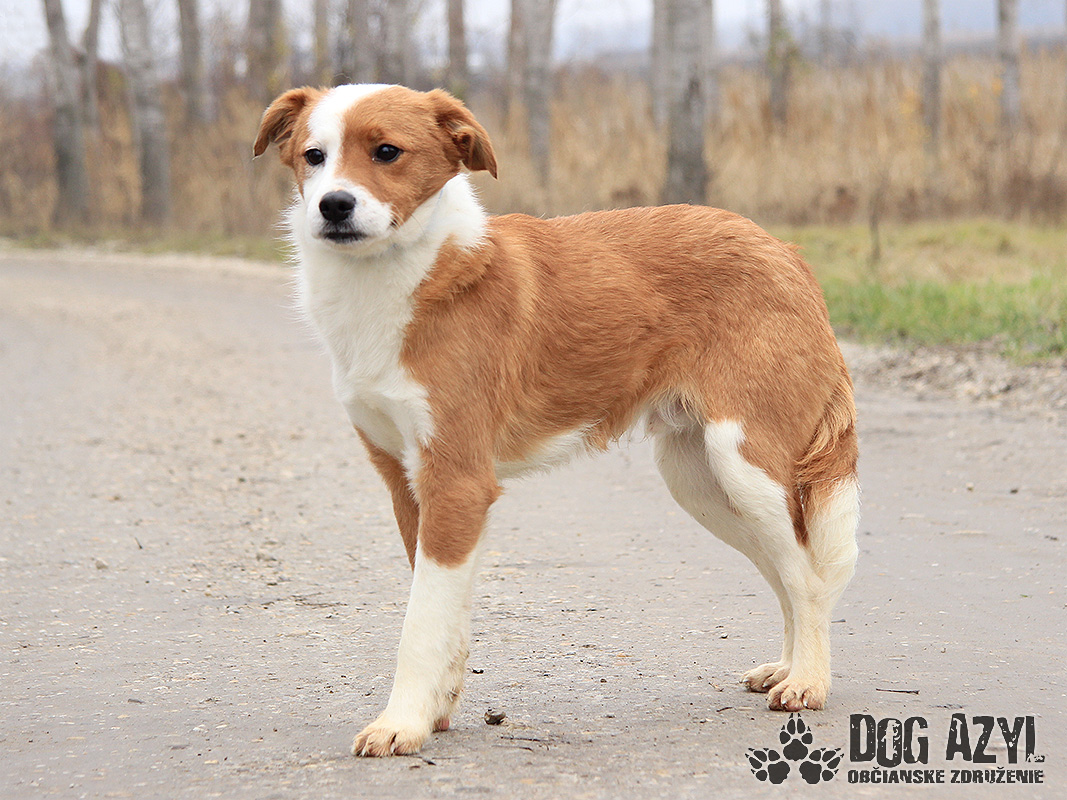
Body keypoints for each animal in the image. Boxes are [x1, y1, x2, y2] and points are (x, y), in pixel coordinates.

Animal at [254, 84, 859, 757]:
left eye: (387, 152)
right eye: (314, 155)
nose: (334, 205)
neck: (408, 275)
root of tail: (786, 253)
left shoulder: (457, 483)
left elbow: (421, 622)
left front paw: (401, 722)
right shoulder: (407, 485)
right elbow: (444, 615)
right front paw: (438, 709)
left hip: (746, 465)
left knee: (807, 576)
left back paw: (808, 681)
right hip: (701, 482)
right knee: (786, 571)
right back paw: (786, 666)